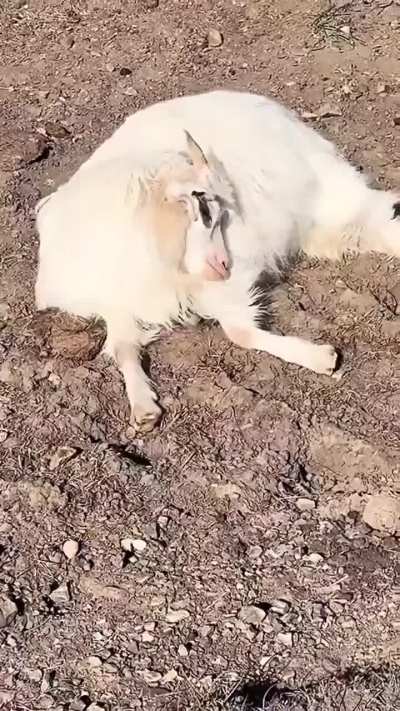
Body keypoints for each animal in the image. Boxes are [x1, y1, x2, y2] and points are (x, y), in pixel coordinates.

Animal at [35, 90, 400, 430]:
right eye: (205, 211)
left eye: (219, 214)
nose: (224, 265)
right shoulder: (119, 301)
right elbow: (124, 347)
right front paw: (143, 407)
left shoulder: (227, 282)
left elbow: (240, 332)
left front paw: (321, 358)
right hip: (317, 225)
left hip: (328, 193)